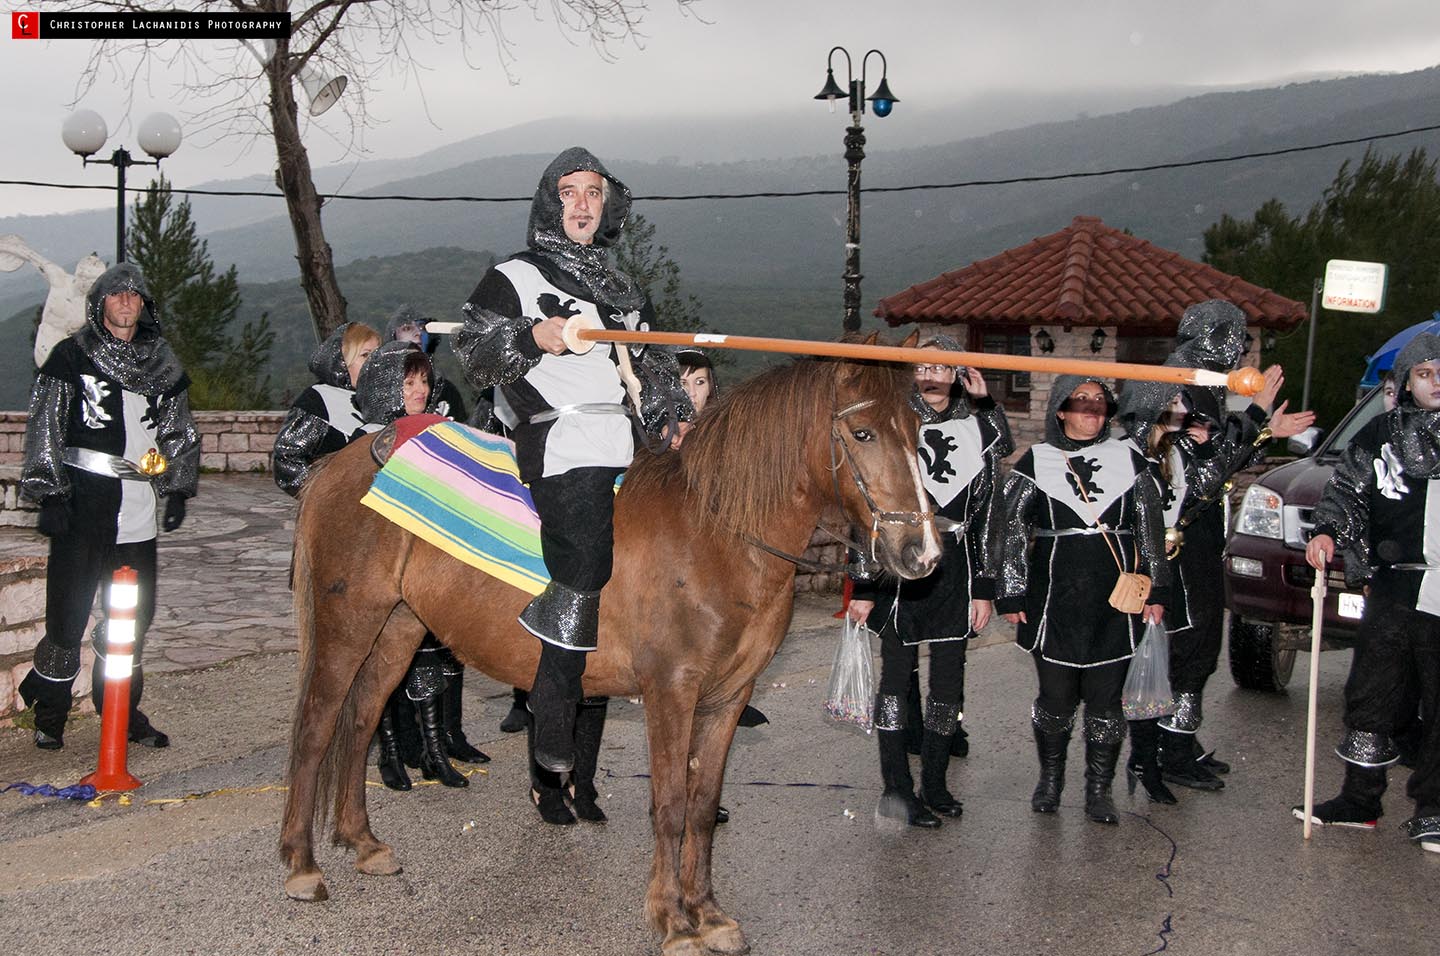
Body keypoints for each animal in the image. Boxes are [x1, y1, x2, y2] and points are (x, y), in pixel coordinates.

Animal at [280, 332, 944, 950]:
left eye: (918, 431)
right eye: (861, 434)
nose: (923, 553)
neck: (717, 535)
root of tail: (344, 461)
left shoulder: (729, 697)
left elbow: (703, 805)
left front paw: (710, 914)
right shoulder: (671, 693)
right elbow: (670, 806)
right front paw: (674, 921)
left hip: (398, 628)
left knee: (360, 720)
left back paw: (362, 843)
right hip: (348, 624)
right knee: (316, 726)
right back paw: (302, 865)